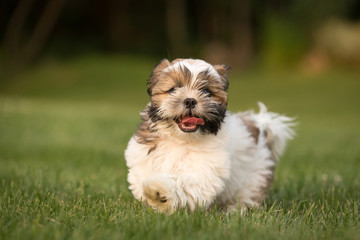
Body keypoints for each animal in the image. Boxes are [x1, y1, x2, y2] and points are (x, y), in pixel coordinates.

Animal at [125, 58, 294, 214]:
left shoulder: (204, 172)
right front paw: (152, 197)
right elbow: (141, 177)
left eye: (206, 91)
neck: (181, 139)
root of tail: (260, 126)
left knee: (245, 197)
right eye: (173, 89)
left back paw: (233, 211)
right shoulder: (143, 159)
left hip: (254, 178)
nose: (190, 100)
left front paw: (158, 190)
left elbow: (183, 183)